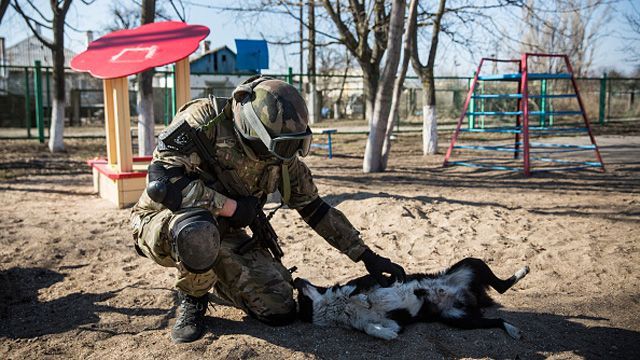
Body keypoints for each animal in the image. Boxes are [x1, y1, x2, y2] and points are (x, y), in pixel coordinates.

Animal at [296, 258, 528, 338]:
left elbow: (355, 292)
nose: (296, 278)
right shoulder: (393, 322)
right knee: (497, 320)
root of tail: (472, 296)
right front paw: (386, 334)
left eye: (299, 297)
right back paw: (513, 330)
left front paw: (363, 300)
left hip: (471, 263)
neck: (336, 307)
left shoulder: (372, 280)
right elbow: (371, 327)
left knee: (502, 286)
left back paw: (523, 271)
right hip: (459, 319)